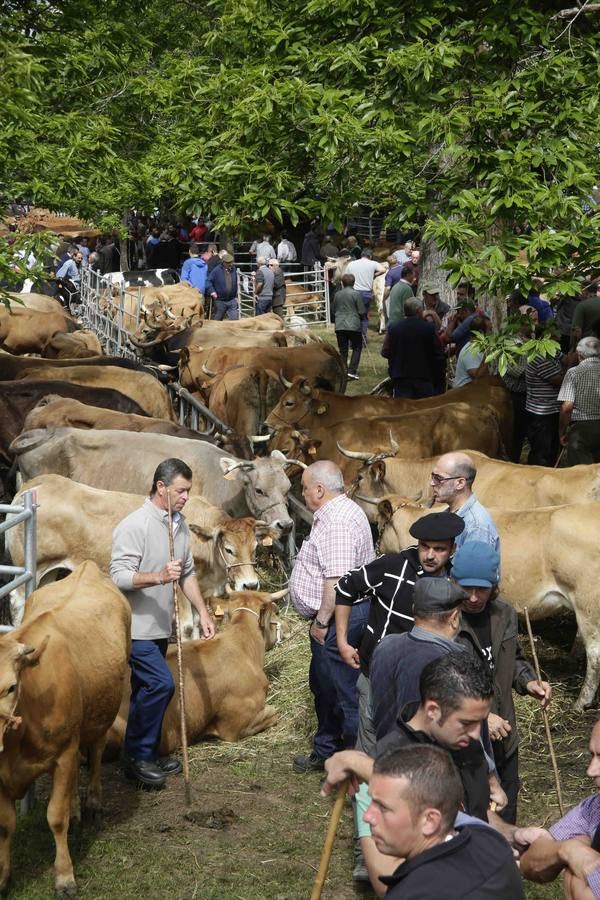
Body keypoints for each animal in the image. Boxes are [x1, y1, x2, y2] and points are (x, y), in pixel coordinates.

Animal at [0, 564, 130, 892]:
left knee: (96, 752)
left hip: (102, 716)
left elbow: (56, 817)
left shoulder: (63, 753)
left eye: (11, 687)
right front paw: (3, 876)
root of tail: (87, 567)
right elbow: (5, 825)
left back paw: (93, 801)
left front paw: (64, 875)